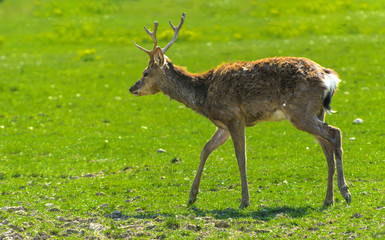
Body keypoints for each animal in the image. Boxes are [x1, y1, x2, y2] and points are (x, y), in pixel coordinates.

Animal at [130, 13, 352, 208]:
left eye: (145, 72)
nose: (132, 88)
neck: (204, 95)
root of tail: (329, 77)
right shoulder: (223, 126)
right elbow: (205, 149)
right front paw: (192, 196)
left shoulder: (234, 117)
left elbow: (241, 157)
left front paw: (244, 200)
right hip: (316, 111)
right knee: (326, 147)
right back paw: (328, 199)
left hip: (300, 112)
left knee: (335, 133)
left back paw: (345, 192)